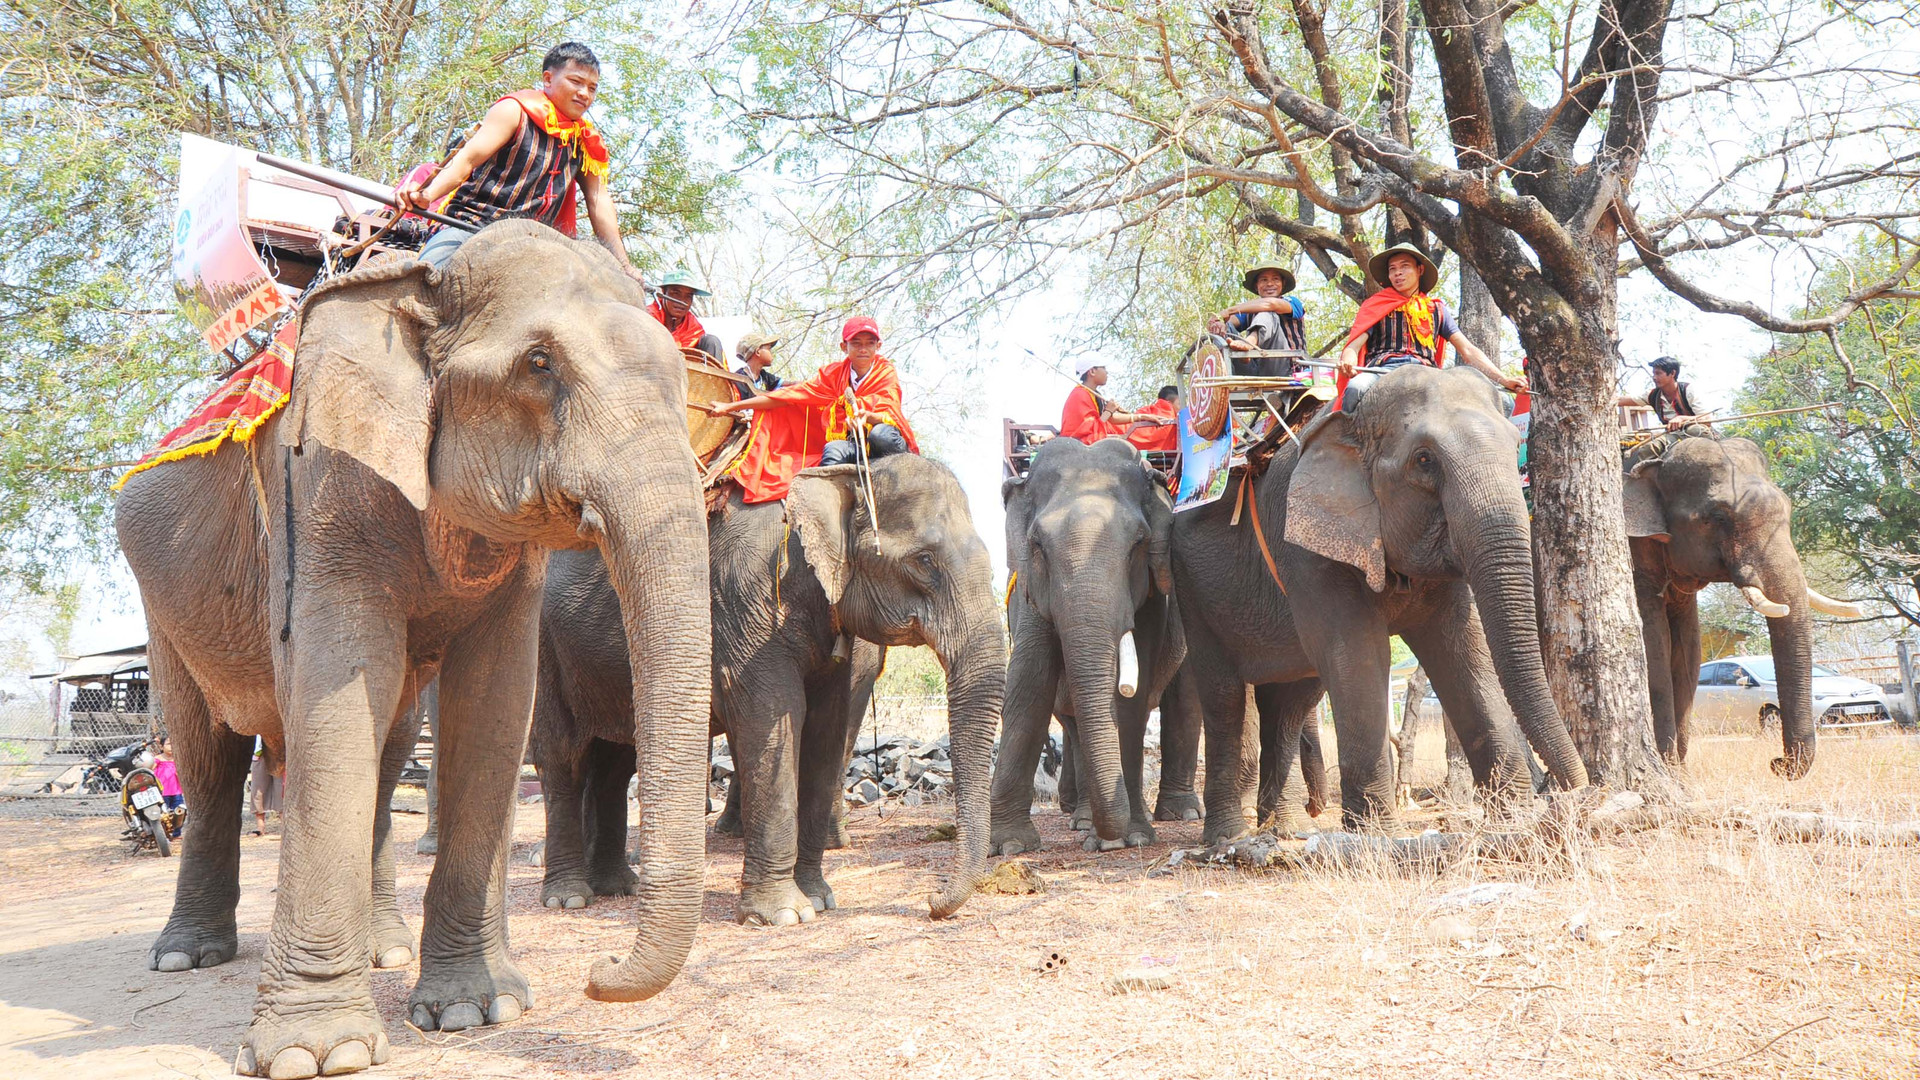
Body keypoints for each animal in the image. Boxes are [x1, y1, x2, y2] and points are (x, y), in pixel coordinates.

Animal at [112, 222, 714, 1068]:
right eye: (539, 365)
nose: (600, 970)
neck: (424, 281)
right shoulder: (320, 488)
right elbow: (336, 693)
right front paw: (316, 1054)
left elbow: (493, 703)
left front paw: (473, 1010)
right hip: (163, 607)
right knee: (207, 758)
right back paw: (184, 956)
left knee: (388, 745)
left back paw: (382, 952)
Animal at [526, 451, 1006, 914]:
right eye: (923, 561)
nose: (933, 903)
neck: (841, 475)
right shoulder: (747, 605)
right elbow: (774, 720)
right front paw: (782, 914)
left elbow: (826, 731)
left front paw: (819, 899)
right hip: (544, 650)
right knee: (563, 757)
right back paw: (570, 897)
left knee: (614, 761)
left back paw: (618, 887)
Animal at [990, 434, 1198, 849]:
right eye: (1037, 545)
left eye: (1138, 543)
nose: (1110, 835)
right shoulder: (1028, 590)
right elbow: (1028, 683)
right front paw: (1009, 845)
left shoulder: (1151, 597)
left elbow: (1131, 697)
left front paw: (1130, 838)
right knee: (1072, 722)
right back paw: (1084, 819)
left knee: (1183, 696)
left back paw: (1179, 813)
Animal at [1167, 361, 1589, 834]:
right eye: (1424, 460)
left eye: (1518, 447)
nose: (1576, 789)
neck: (1353, 424)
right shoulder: (1307, 545)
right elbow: (1358, 653)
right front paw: (1375, 833)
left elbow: (1465, 651)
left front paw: (1513, 819)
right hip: (1190, 586)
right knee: (1224, 697)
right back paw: (1229, 838)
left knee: (1290, 699)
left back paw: (1286, 829)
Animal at [1620, 428, 1858, 772]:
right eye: (1718, 517)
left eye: (1788, 508)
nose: (1777, 763)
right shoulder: (1635, 552)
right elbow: (1653, 645)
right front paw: (1669, 769)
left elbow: (1688, 651)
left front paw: (1678, 772)